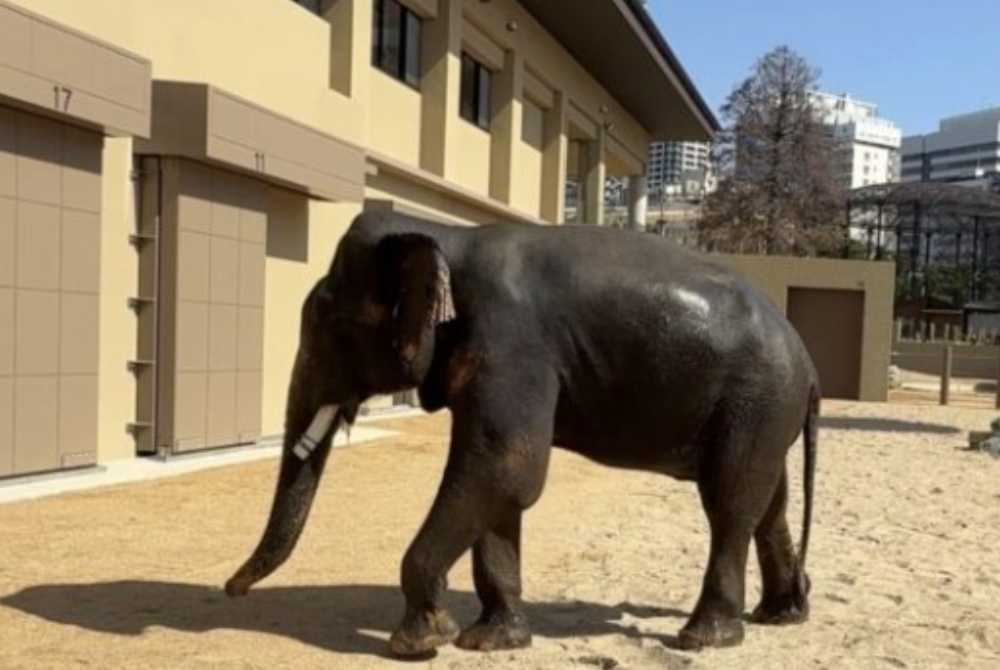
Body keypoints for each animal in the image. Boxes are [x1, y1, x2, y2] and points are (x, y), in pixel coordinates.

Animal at [224, 211, 819, 655]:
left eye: (332, 325)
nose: (231, 590)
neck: (449, 235)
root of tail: (808, 363)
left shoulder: (510, 342)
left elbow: (505, 465)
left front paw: (420, 640)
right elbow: (500, 486)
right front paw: (490, 640)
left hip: (755, 402)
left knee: (730, 505)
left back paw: (703, 639)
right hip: (765, 413)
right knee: (770, 505)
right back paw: (780, 615)